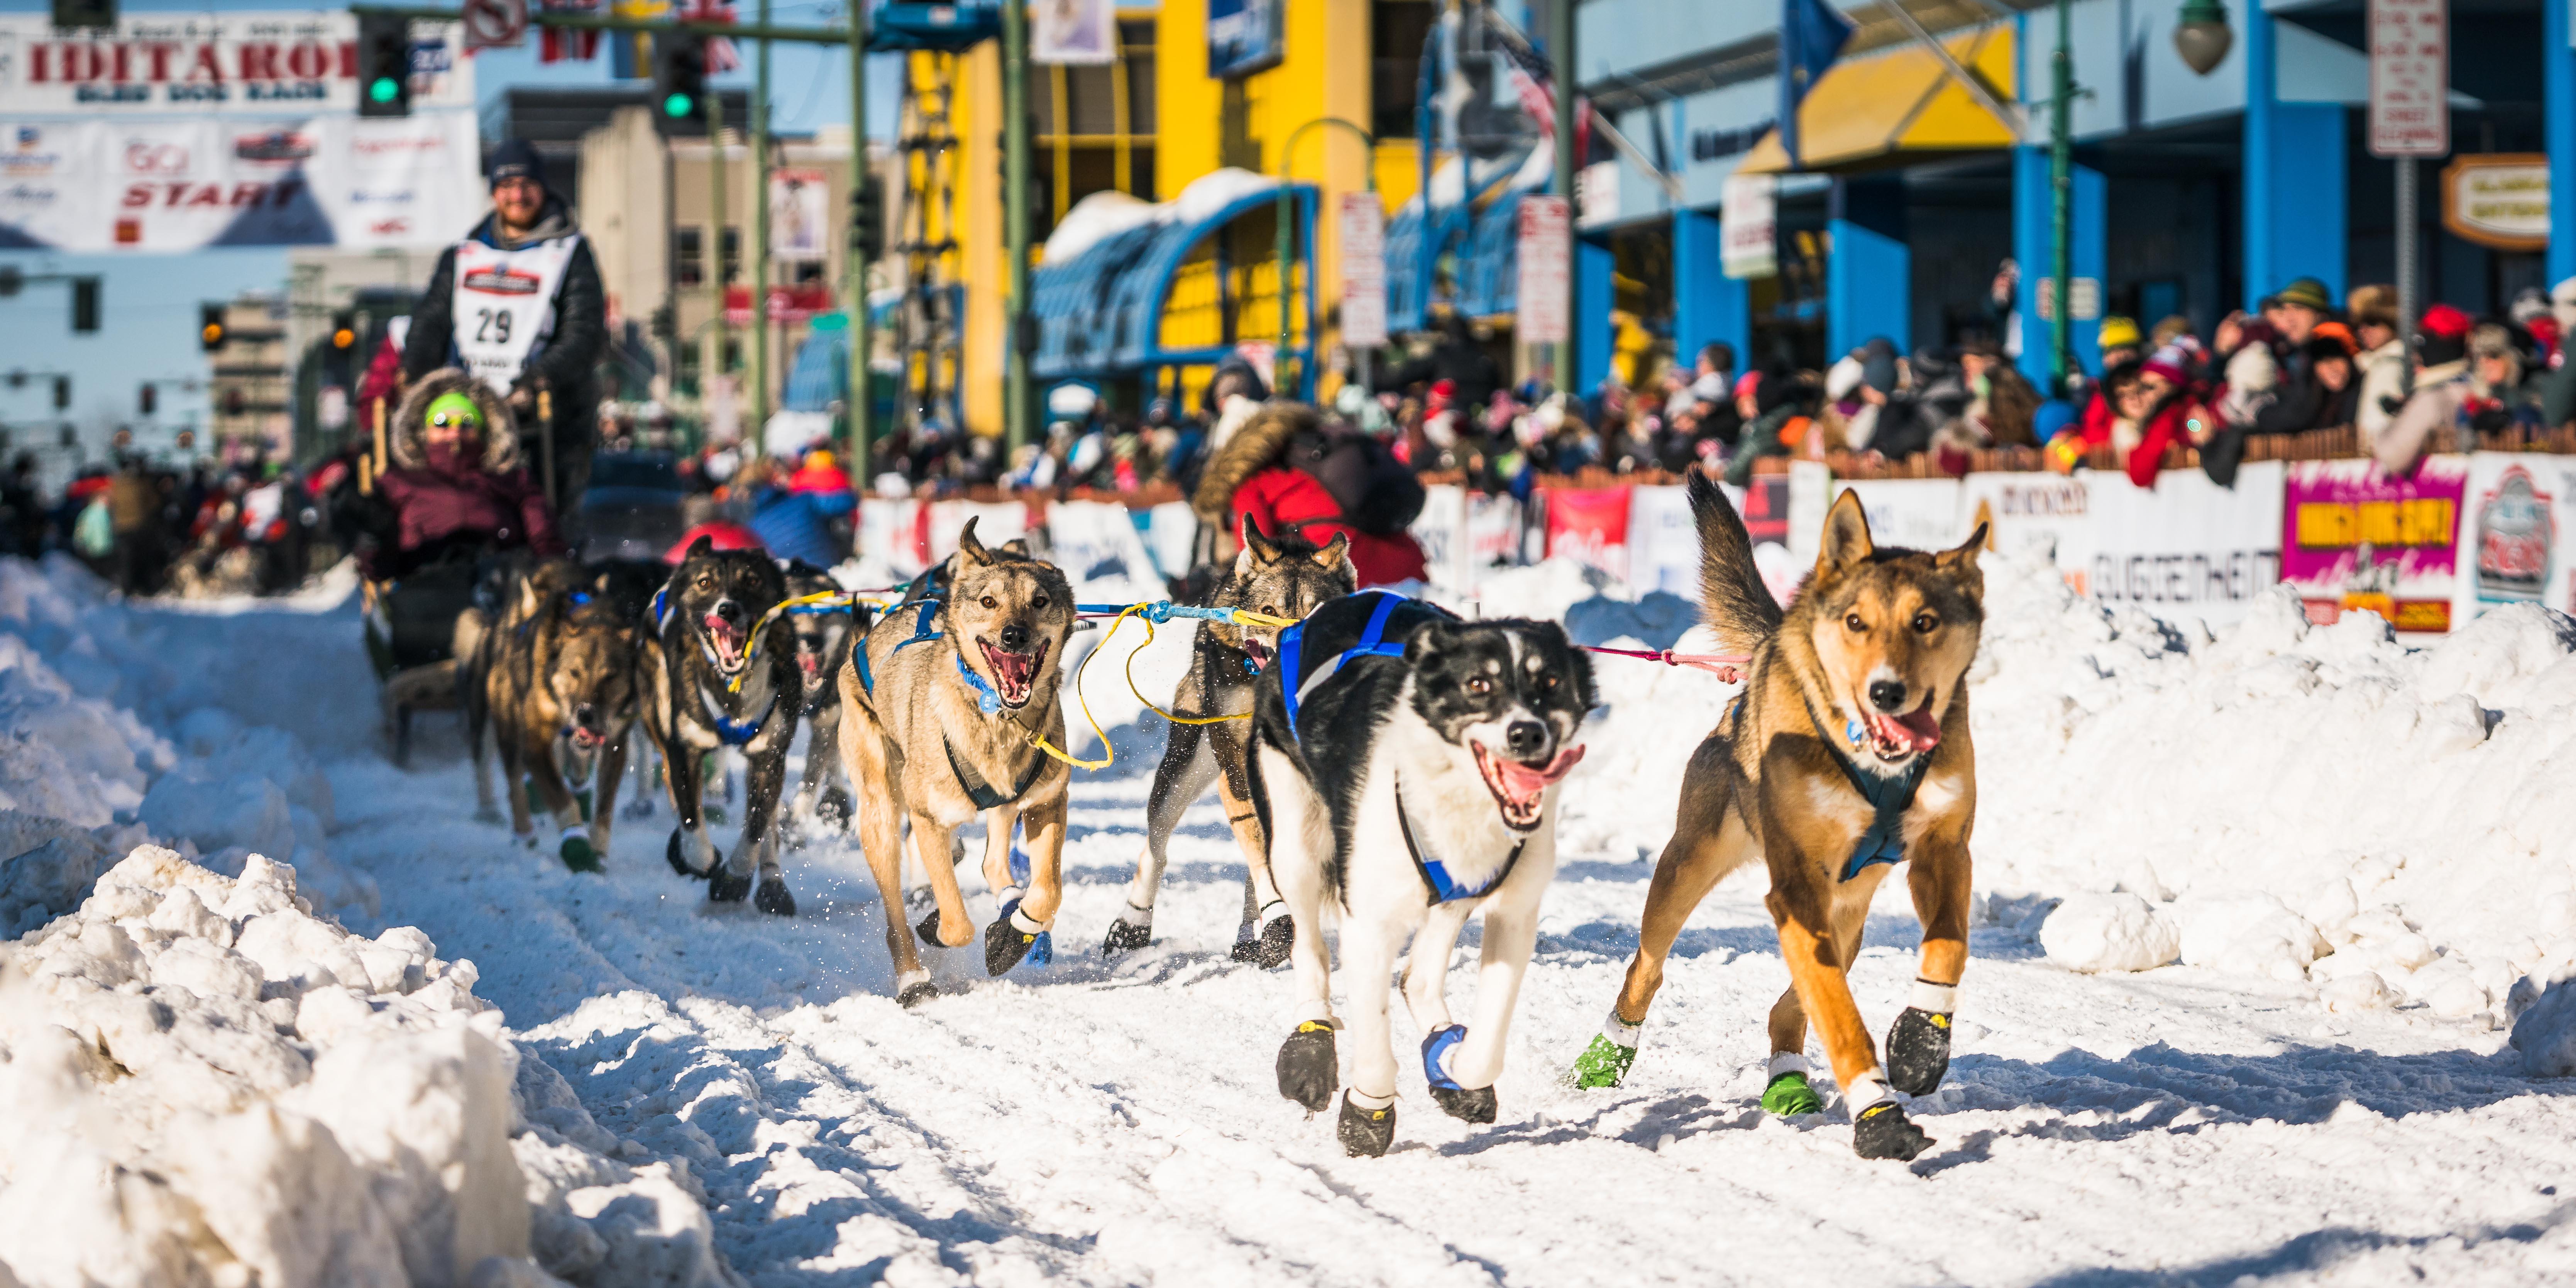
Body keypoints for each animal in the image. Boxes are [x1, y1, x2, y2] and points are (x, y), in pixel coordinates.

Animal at [834, 518, 1076, 1010]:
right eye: (988, 601)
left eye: (1040, 601)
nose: (1014, 635)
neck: (996, 716)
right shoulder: (929, 819)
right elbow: (956, 922)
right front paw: (939, 928)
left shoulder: (1046, 802)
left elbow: (1047, 893)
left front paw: (1015, 932)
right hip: (880, 811)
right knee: (895, 916)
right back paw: (912, 978)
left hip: (1006, 806)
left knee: (994, 864)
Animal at [1097, 513, 1360, 968]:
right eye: (1268, 612)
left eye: (1318, 613)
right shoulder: (1237, 771)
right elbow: (1260, 854)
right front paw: (1277, 920)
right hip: (1185, 765)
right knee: (1157, 844)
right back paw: (1132, 923)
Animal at [1247, 590, 1587, 1159]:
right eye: (1478, 684)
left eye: (1551, 682)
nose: (1527, 733)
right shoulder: (1369, 925)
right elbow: (1373, 1038)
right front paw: (1368, 1109)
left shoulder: (1514, 913)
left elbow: (1484, 1050)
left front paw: (1452, 1066)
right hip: (1295, 847)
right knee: (1309, 950)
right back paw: (1310, 1049)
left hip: (1446, 896)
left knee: (1416, 978)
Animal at [1545, 479, 1989, 1164]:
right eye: (1855, 621)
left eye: (1925, 622)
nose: (1886, 691)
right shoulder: (1797, 887)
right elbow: (1839, 1018)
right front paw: (1878, 1115)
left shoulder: (1944, 851)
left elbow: (1948, 946)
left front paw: (1920, 1040)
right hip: (1687, 871)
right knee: (1646, 968)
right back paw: (1604, 1057)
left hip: (1848, 917)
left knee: (1789, 1008)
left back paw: (1788, 1080)